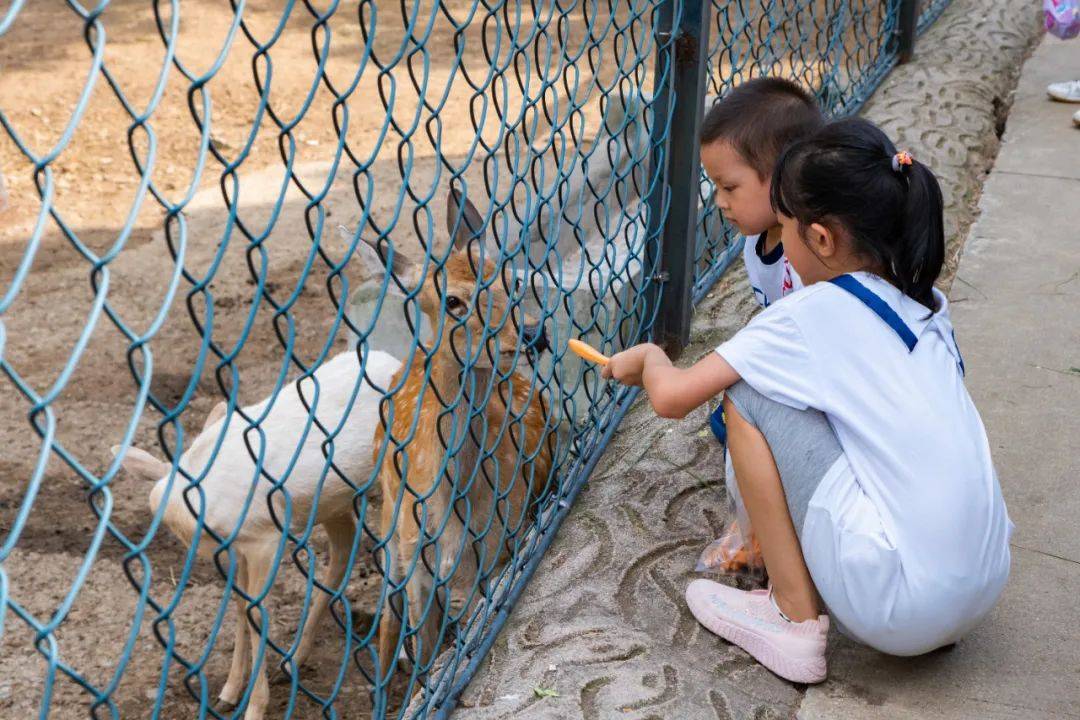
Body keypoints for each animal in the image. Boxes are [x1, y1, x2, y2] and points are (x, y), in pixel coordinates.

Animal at [112, 345, 401, 720]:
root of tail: (396, 362)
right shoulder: (235, 550)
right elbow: (237, 605)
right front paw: (229, 692)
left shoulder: (265, 538)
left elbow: (254, 612)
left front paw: (254, 706)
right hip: (331, 500)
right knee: (345, 549)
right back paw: (293, 662)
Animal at [371, 188, 557, 677]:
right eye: (453, 301)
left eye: (512, 280)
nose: (530, 334)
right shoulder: (415, 558)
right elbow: (424, 648)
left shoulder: (494, 552)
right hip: (388, 522)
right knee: (388, 611)